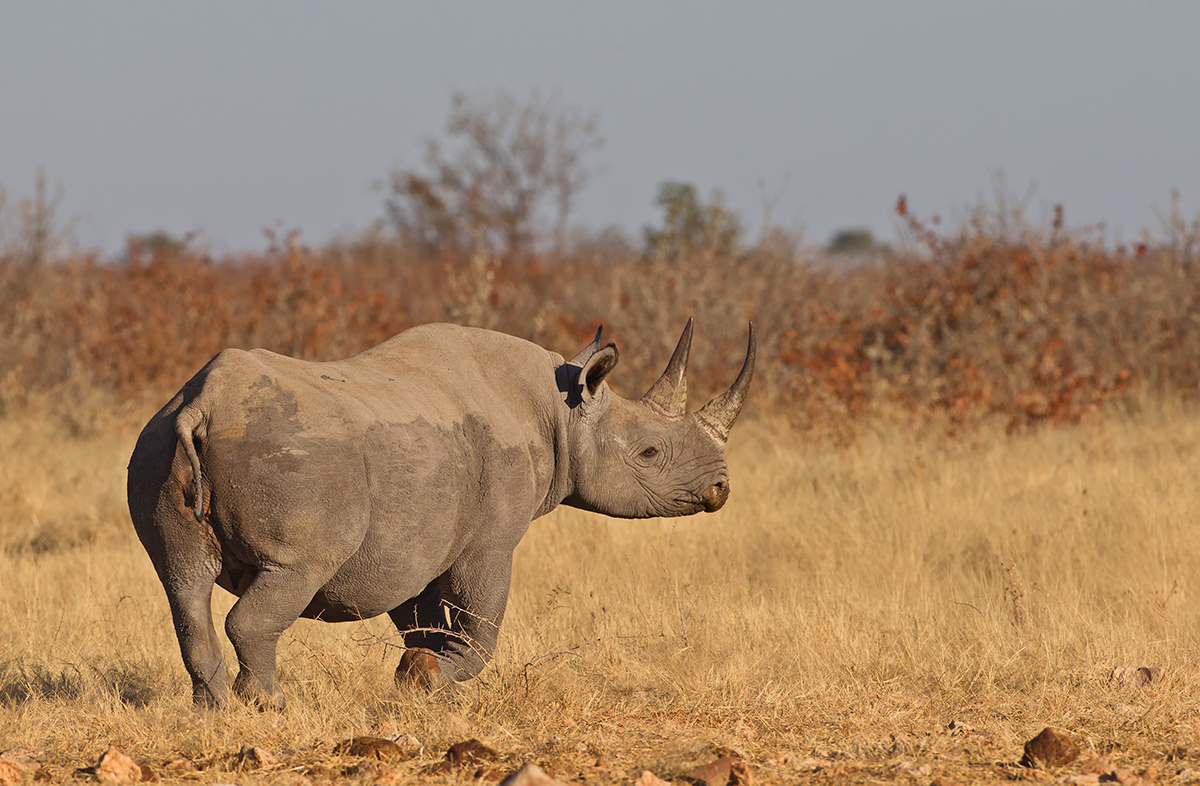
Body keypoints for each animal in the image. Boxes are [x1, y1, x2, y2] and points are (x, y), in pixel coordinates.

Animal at [127, 319, 754, 709]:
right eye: (649, 453)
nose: (721, 487)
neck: (566, 412)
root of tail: (202, 407)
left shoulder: (415, 538)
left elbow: (424, 620)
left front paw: (418, 677)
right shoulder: (490, 539)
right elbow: (480, 622)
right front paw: (434, 680)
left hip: (158, 445)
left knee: (181, 580)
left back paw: (214, 711)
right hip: (292, 456)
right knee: (291, 571)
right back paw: (271, 707)